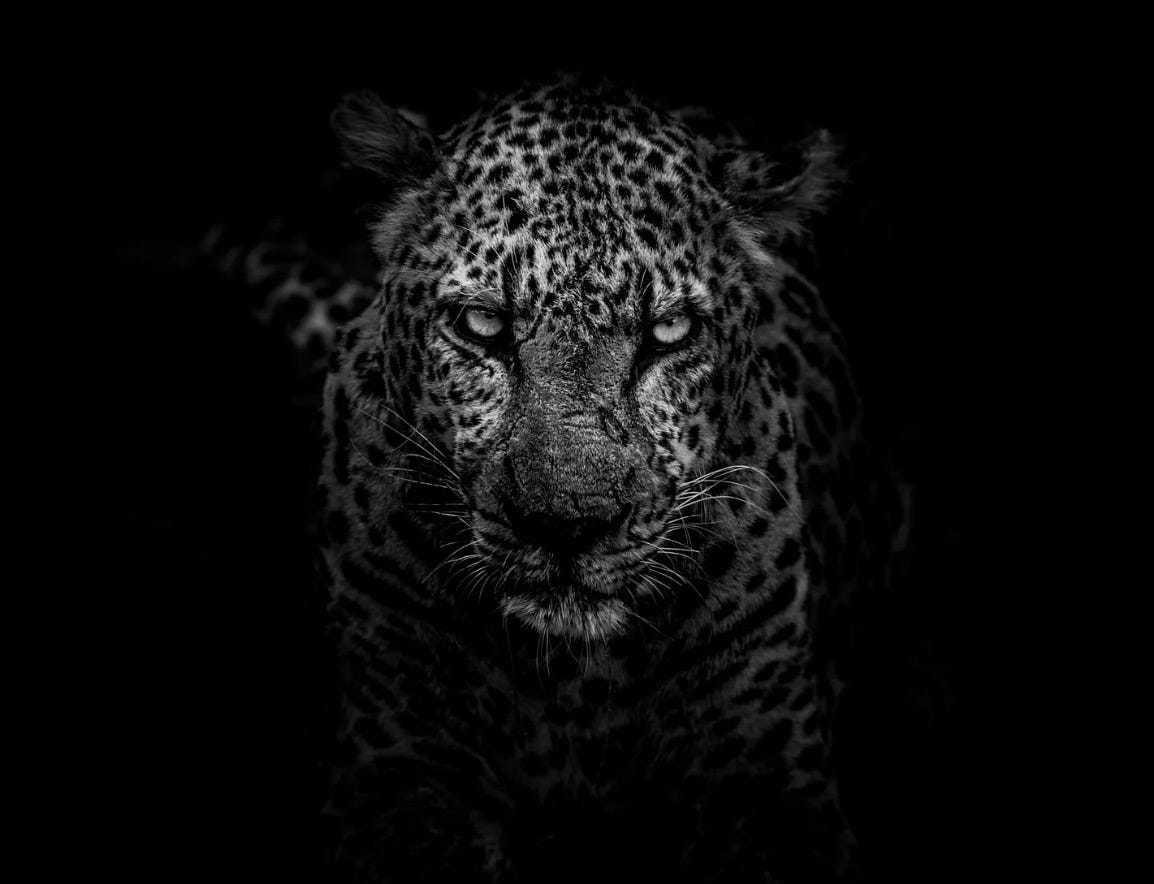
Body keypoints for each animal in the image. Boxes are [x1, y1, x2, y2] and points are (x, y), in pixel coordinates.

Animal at [204, 74, 906, 883]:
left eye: (668, 333)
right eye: (482, 325)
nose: (567, 525)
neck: (575, 681)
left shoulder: (770, 784)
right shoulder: (397, 769)